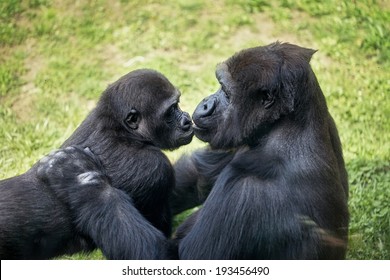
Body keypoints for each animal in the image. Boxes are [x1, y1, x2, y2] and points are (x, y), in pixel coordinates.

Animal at [172, 42, 348, 260]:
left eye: (226, 92)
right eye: (220, 85)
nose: (205, 104)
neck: (283, 125)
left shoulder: (245, 191)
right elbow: (197, 175)